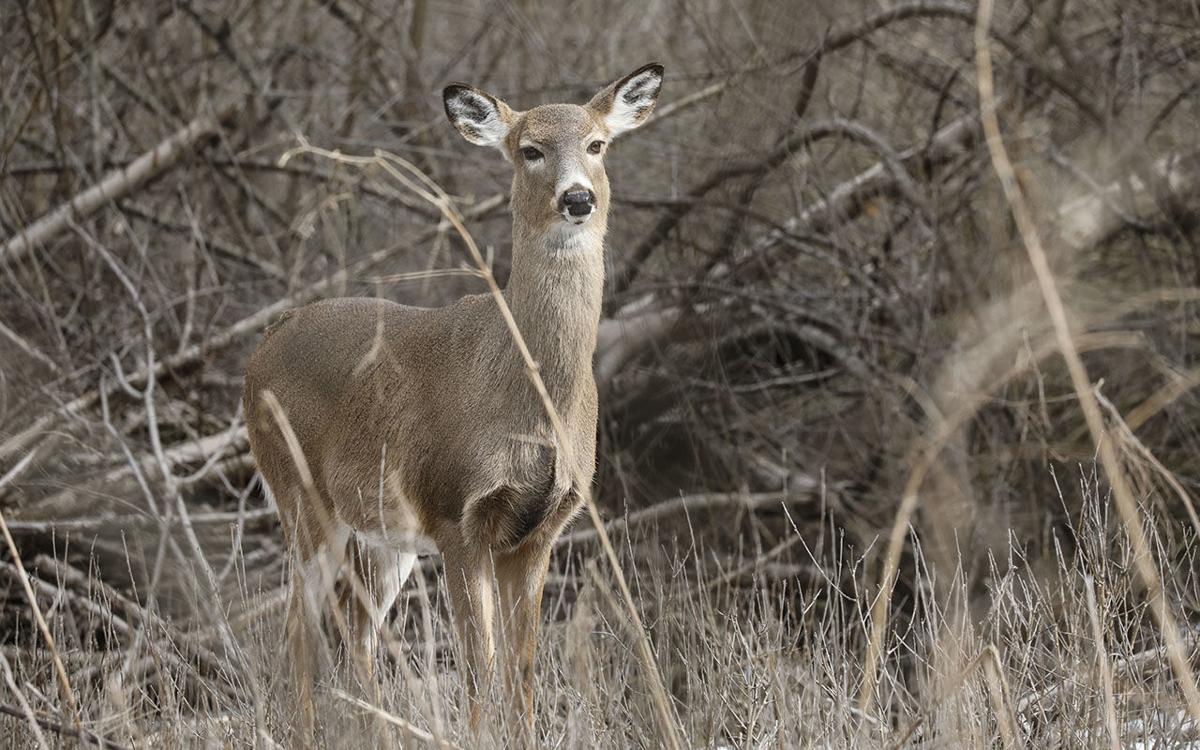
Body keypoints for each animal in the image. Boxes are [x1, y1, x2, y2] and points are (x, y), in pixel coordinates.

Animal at [242, 63, 667, 739]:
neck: (532, 406)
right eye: (529, 150)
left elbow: (523, 672)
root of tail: (261, 348)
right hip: (300, 496)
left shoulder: (541, 530)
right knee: (298, 629)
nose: (578, 198)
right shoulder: (457, 514)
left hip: (383, 533)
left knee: (355, 626)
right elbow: (479, 670)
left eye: (598, 144)